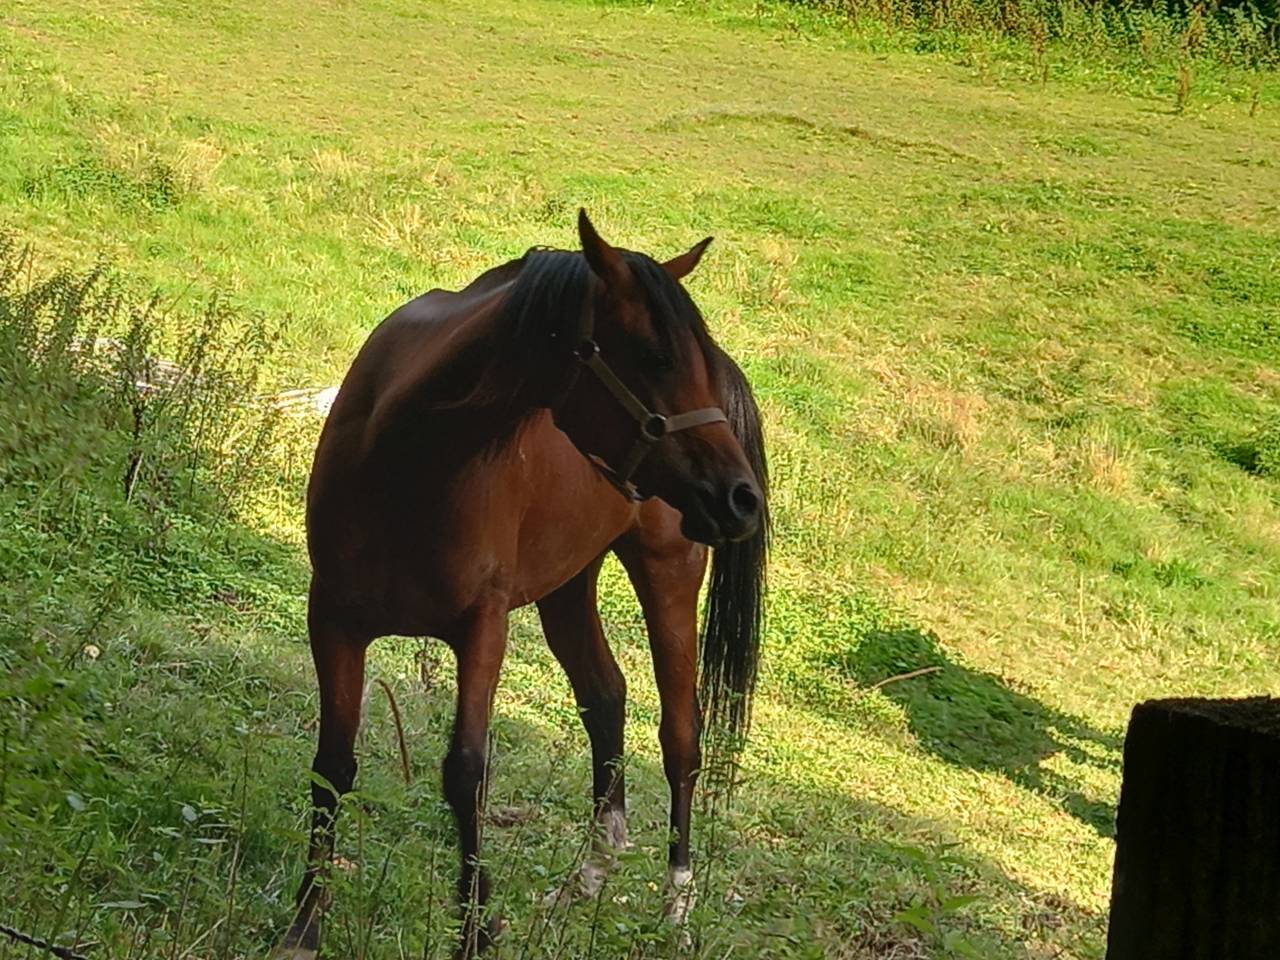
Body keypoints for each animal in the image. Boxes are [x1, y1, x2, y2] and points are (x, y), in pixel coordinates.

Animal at [275, 210, 769, 959]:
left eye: (694, 364)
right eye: (654, 356)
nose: (742, 498)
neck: (409, 452)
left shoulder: (483, 627)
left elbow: (467, 773)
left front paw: (476, 930)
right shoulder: (332, 616)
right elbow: (331, 765)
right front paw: (306, 920)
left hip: (668, 574)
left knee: (681, 738)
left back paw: (675, 909)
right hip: (568, 584)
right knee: (606, 696)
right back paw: (587, 878)